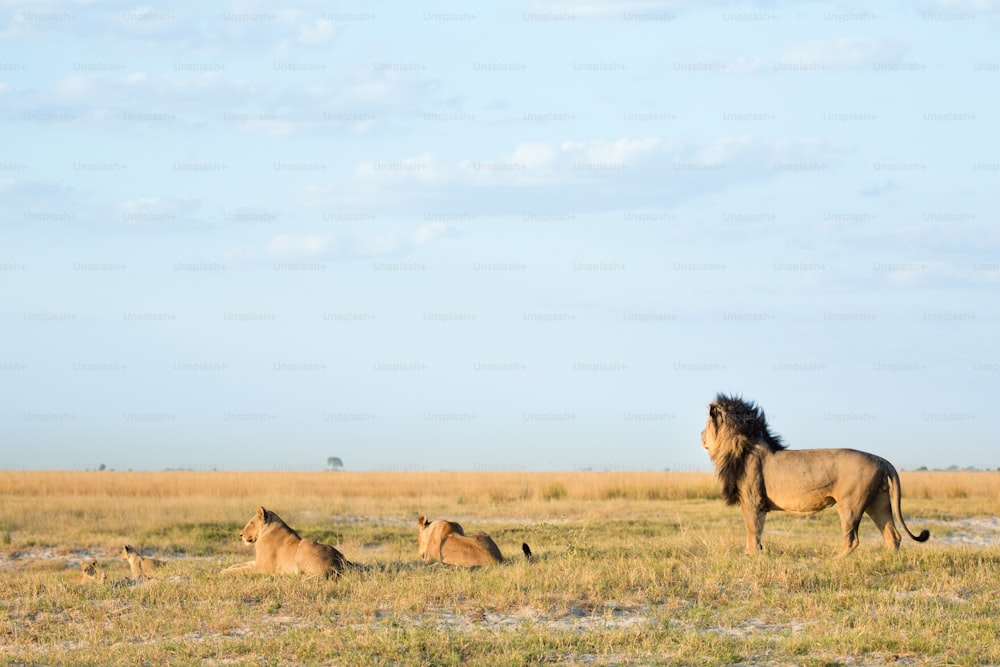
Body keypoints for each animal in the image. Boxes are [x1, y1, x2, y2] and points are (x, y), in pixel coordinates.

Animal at [221, 504, 354, 576]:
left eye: (251, 523)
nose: (240, 534)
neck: (264, 532)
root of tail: (340, 559)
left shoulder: (264, 567)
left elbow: (243, 569)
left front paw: (224, 572)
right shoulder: (258, 561)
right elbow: (242, 564)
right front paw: (227, 568)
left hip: (304, 546)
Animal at [704, 394, 928, 556]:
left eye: (705, 426)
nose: (700, 436)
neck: (741, 445)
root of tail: (881, 460)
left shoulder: (752, 501)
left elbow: (752, 531)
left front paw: (750, 556)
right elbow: (758, 532)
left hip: (851, 504)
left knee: (852, 539)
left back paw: (835, 560)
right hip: (878, 501)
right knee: (893, 535)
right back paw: (891, 561)